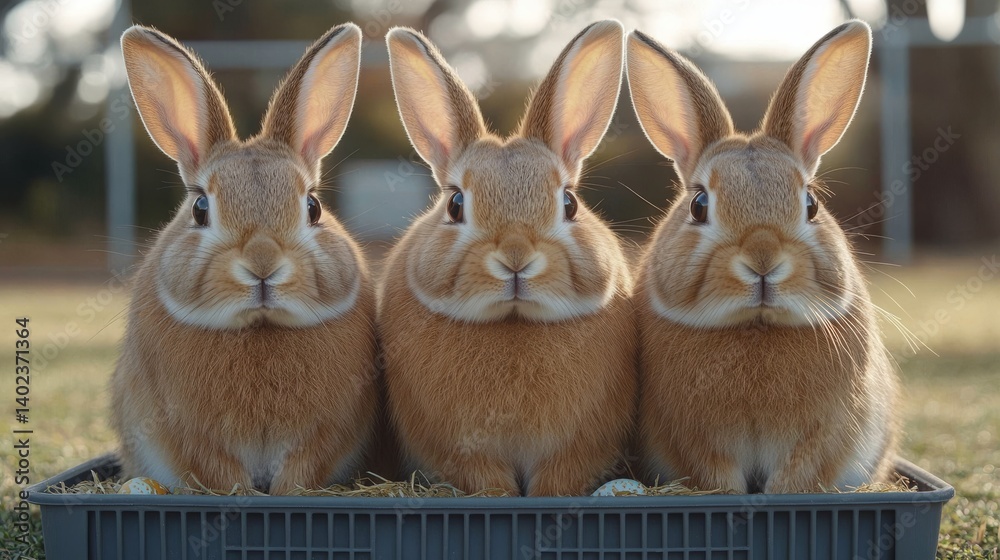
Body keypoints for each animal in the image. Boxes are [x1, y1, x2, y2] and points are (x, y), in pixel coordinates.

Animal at [110, 23, 379, 495]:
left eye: (313, 207)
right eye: (200, 208)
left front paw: (287, 493)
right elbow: (219, 471)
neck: (260, 326)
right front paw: (242, 494)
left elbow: (304, 467)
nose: (262, 264)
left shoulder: (331, 427)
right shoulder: (187, 430)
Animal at [378, 20, 637, 496]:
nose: (516, 258)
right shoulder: (458, 449)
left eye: (569, 203)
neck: (513, 321)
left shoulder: (578, 446)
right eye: (455, 205)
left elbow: (557, 479)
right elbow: (488, 481)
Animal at [626, 20, 899, 494]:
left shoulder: (824, 432)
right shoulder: (691, 436)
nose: (763, 258)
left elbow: (797, 475)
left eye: (811, 204)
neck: (756, 326)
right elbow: (718, 477)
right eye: (699, 204)